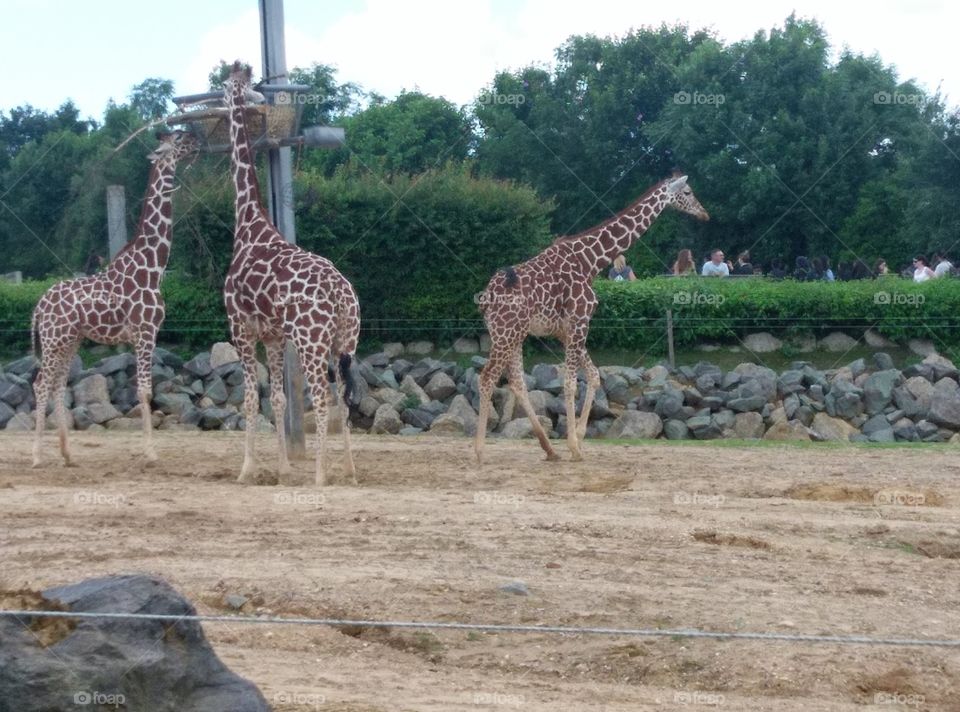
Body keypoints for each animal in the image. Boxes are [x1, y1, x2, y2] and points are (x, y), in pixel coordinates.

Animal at [31, 130, 198, 467]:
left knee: (56, 385)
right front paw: (151, 453)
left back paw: (67, 455)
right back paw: (38, 457)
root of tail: (39, 307)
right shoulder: (146, 331)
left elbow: (143, 391)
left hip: (69, 340)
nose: (197, 139)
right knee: (40, 384)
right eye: (178, 139)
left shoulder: (144, 334)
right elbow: (145, 392)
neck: (152, 268)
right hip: (54, 340)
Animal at [221, 62, 360, 487]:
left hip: (311, 342)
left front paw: (246, 469)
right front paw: (282, 468)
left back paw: (320, 474)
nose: (253, 99)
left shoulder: (241, 328)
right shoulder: (273, 335)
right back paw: (350, 470)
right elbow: (280, 398)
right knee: (344, 396)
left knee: (322, 397)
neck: (249, 225)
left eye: (227, 87)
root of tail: (341, 294)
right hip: (344, 341)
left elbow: (251, 399)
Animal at [474, 174, 709, 463]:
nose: (704, 213)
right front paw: (574, 446)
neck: (590, 261)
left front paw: (579, 438)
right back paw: (480, 450)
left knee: (517, 382)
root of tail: (486, 297)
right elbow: (570, 382)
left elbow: (594, 375)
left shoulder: (565, 330)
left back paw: (549, 449)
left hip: (514, 334)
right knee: (487, 378)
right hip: (505, 334)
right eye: (687, 191)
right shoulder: (579, 321)